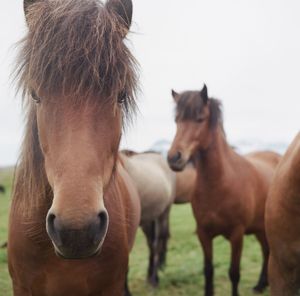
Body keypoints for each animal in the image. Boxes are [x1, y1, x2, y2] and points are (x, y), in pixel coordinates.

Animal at [168, 85, 280, 296]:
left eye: (200, 119)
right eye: (176, 120)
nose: (173, 158)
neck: (219, 184)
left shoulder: (237, 235)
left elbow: (234, 272)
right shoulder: (204, 234)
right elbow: (208, 270)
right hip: (259, 228)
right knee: (266, 250)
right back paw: (261, 284)